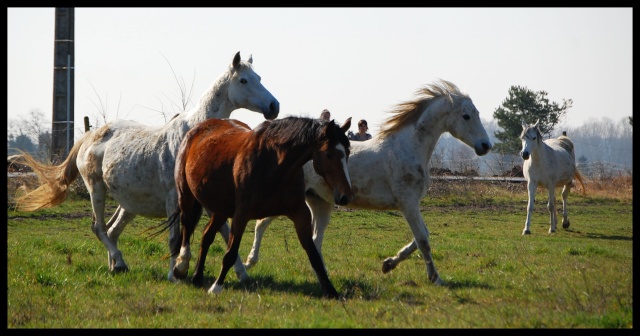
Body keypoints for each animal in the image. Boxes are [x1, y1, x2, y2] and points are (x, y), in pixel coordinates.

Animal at [12, 51, 278, 282]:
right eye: (243, 80)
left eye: (259, 78)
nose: (274, 106)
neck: (194, 137)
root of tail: (89, 137)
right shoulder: (174, 200)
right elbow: (175, 239)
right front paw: (175, 275)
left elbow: (225, 234)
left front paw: (243, 274)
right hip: (96, 190)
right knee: (99, 228)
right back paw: (119, 263)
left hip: (128, 204)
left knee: (112, 231)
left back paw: (113, 266)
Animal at [164, 116, 356, 300]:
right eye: (329, 154)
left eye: (347, 152)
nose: (345, 196)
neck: (274, 165)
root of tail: (196, 130)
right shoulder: (241, 214)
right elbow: (230, 253)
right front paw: (216, 287)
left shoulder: (300, 213)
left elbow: (314, 254)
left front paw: (331, 291)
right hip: (186, 196)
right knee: (187, 226)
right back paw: (181, 265)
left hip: (221, 209)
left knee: (206, 236)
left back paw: (197, 277)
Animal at [238, 80, 492, 284]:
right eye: (466, 116)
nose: (485, 145)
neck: (409, 147)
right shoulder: (408, 203)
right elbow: (422, 239)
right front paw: (435, 278)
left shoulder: (411, 205)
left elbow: (421, 237)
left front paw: (388, 264)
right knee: (262, 224)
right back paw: (250, 262)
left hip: (320, 203)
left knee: (314, 240)